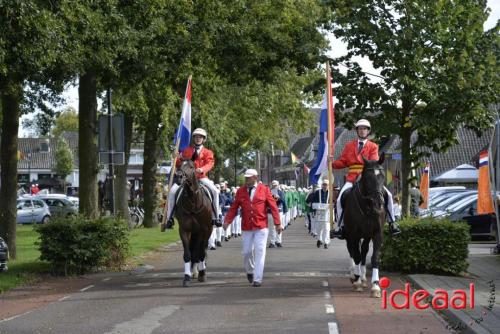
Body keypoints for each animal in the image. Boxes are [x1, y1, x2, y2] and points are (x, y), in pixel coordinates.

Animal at [176, 160, 213, 288]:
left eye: (192, 167)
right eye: (179, 165)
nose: (179, 177)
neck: (192, 202)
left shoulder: (203, 230)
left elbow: (200, 253)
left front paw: (202, 275)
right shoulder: (184, 230)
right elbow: (187, 254)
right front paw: (186, 277)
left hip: (206, 232)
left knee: (201, 251)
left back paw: (200, 271)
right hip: (194, 233)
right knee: (194, 252)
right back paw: (194, 272)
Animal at [344, 154, 386, 298]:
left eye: (383, 176)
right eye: (368, 177)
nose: (378, 203)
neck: (368, 206)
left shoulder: (377, 233)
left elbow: (374, 258)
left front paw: (375, 286)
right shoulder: (354, 234)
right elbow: (356, 255)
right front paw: (357, 283)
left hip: (366, 235)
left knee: (363, 251)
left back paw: (362, 278)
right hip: (350, 236)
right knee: (353, 252)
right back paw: (354, 276)